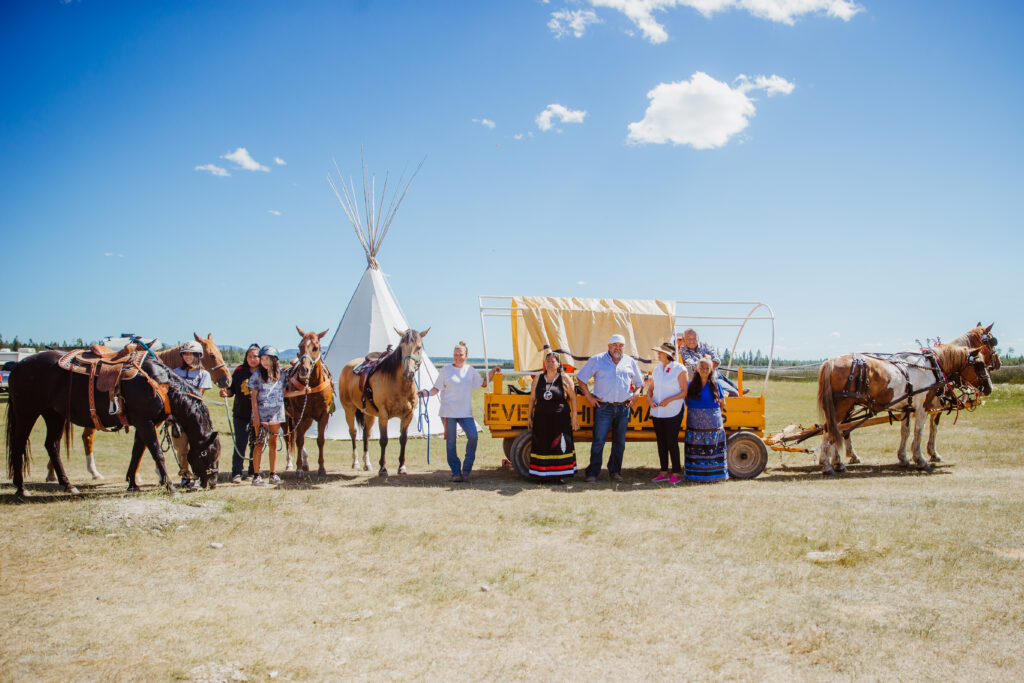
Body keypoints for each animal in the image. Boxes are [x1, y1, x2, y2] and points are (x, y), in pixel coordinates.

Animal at [6, 350, 221, 497]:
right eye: (207, 453)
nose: (212, 481)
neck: (161, 385)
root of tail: (18, 366)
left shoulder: (143, 423)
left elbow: (137, 451)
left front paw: (132, 483)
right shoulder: (144, 422)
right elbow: (157, 453)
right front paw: (170, 486)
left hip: (54, 415)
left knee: (52, 445)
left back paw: (68, 485)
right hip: (27, 413)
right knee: (18, 445)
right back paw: (21, 488)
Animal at [283, 326, 334, 476]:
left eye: (316, 347)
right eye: (300, 345)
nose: (303, 370)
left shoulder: (323, 415)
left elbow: (320, 440)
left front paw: (322, 468)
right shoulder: (299, 414)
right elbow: (299, 440)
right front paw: (299, 468)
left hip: (308, 420)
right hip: (287, 419)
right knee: (289, 439)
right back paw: (290, 464)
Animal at [337, 328, 429, 476]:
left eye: (419, 347)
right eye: (401, 347)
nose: (408, 373)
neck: (398, 385)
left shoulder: (408, 415)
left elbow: (403, 439)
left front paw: (402, 467)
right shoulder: (384, 415)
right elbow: (384, 440)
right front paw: (383, 468)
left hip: (369, 414)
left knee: (366, 435)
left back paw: (367, 464)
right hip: (349, 409)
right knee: (353, 432)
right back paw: (355, 462)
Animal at [824, 324, 1001, 468]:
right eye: (992, 342)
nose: (989, 387)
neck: (935, 365)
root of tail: (830, 362)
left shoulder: (907, 405)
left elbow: (906, 431)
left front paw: (903, 457)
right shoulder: (927, 405)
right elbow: (924, 429)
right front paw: (925, 457)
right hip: (844, 405)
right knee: (834, 429)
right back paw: (834, 462)